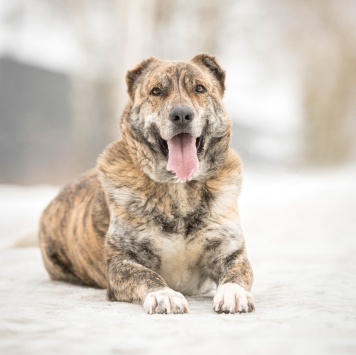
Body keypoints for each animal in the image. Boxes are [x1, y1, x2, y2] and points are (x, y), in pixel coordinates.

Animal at [39, 52, 254, 314]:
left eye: (199, 88)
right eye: (156, 91)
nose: (181, 115)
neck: (178, 188)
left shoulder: (229, 250)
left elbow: (237, 272)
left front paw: (234, 293)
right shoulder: (122, 260)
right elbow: (146, 275)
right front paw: (164, 295)